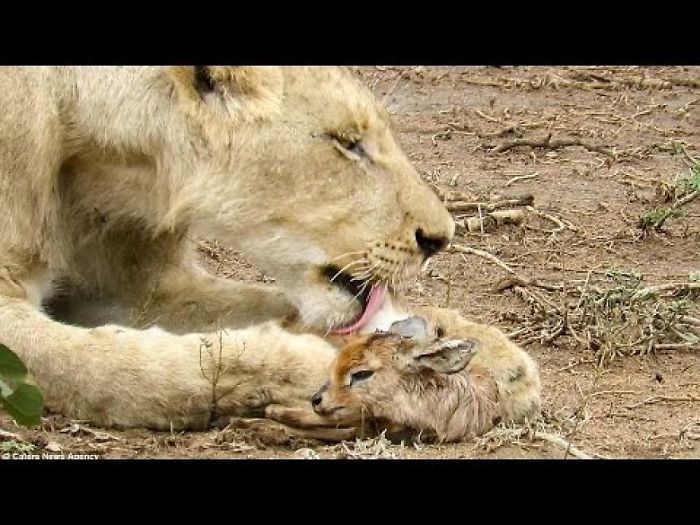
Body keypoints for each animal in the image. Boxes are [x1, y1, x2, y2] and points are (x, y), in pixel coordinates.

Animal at [0, 66, 540, 431]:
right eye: (346, 142)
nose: (439, 239)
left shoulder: (134, 285)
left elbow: (268, 305)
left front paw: (484, 351)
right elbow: (119, 364)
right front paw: (309, 366)